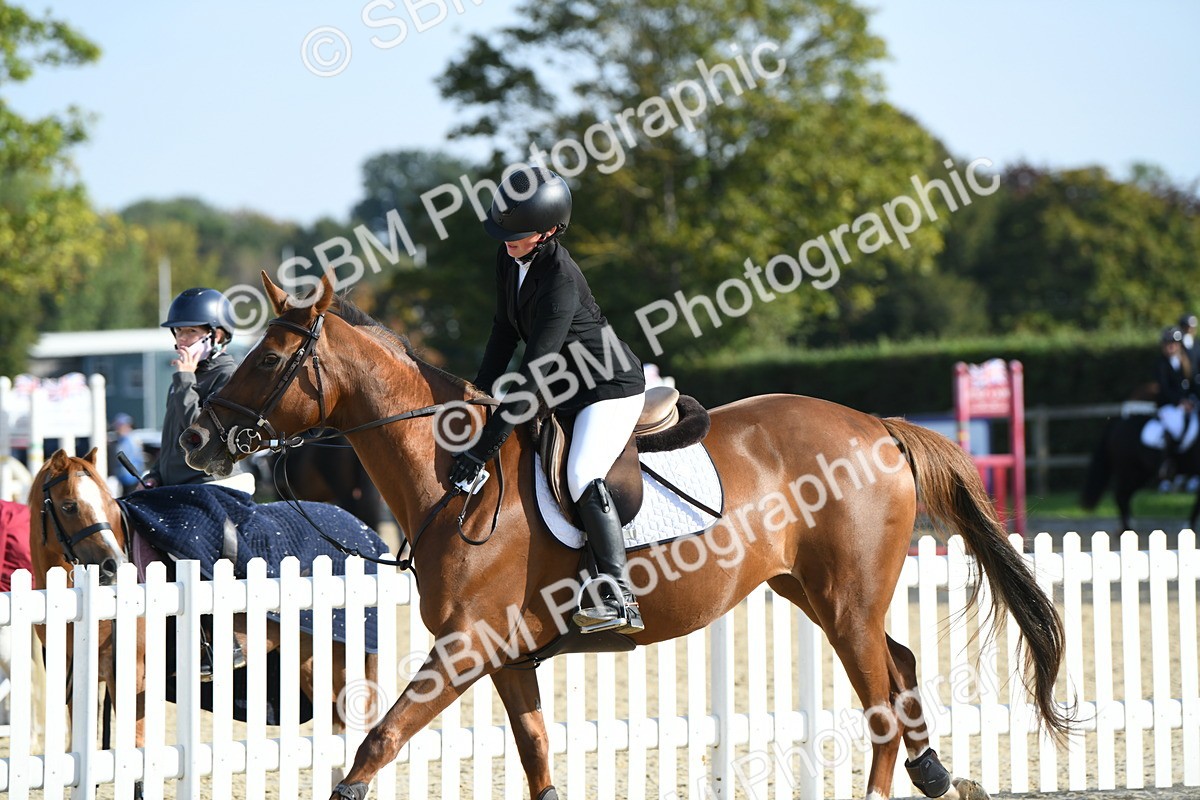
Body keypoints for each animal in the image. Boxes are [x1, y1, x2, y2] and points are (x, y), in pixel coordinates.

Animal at [181, 272, 1072, 800]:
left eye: (269, 360)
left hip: (847, 601)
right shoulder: (505, 657)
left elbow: (375, 744)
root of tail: (878, 427)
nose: (195, 440)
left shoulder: (465, 647)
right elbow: (537, 762)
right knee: (903, 666)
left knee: (883, 695)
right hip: (816, 594)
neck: (454, 473)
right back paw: (936, 774)